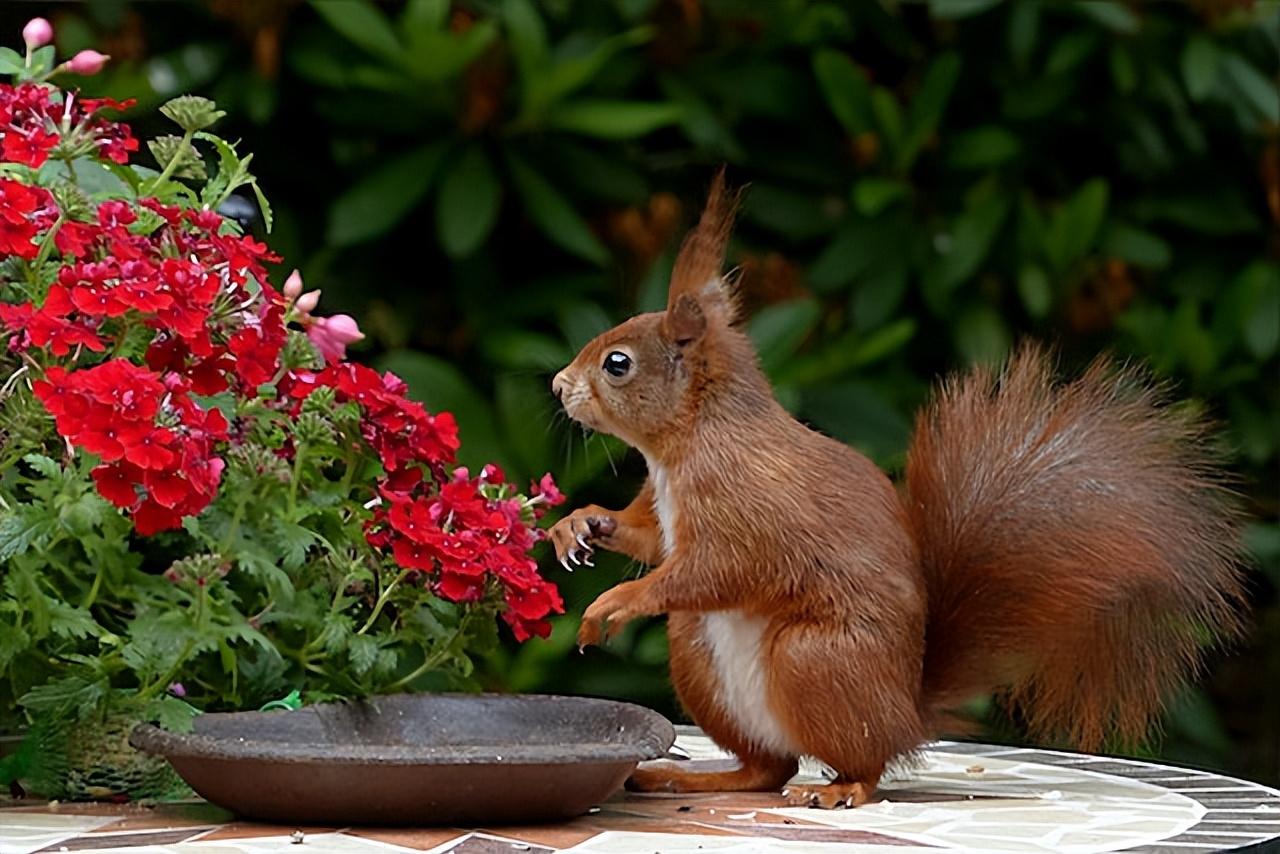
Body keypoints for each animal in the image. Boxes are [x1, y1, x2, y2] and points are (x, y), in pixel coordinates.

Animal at [547, 171, 1239, 809]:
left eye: (617, 363)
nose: (557, 385)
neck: (685, 444)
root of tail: (907, 713)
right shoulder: (666, 511)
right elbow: (650, 539)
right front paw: (580, 524)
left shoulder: (748, 503)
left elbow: (718, 568)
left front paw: (617, 601)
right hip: (697, 653)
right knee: (767, 767)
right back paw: (688, 776)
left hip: (813, 659)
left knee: (859, 762)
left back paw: (837, 788)